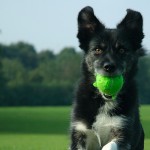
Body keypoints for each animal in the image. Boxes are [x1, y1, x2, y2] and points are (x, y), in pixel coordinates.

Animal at [69, 6, 145, 150]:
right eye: (97, 50)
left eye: (122, 50)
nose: (109, 67)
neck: (104, 102)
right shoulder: (80, 133)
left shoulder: (122, 132)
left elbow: (109, 146)